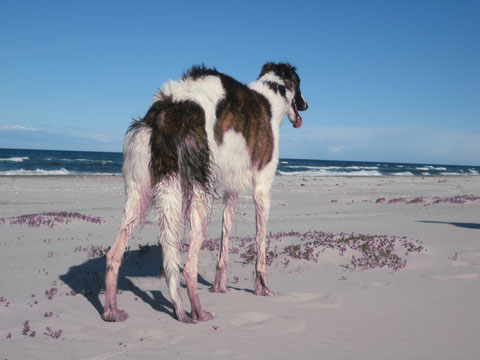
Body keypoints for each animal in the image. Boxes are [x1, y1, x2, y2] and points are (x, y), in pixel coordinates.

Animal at [103, 62, 310, 324]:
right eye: (300, 84)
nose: (306, 105)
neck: (272, 91)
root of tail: (165, 111)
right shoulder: (262, 186)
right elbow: (261, 244)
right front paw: (263, 288)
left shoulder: (231, 191)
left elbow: (225, 240)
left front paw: (220, 286)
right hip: (199, 195)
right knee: (188, 267)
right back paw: (198, 312)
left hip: (139, 194)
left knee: (114, 255)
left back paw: (113, 311)